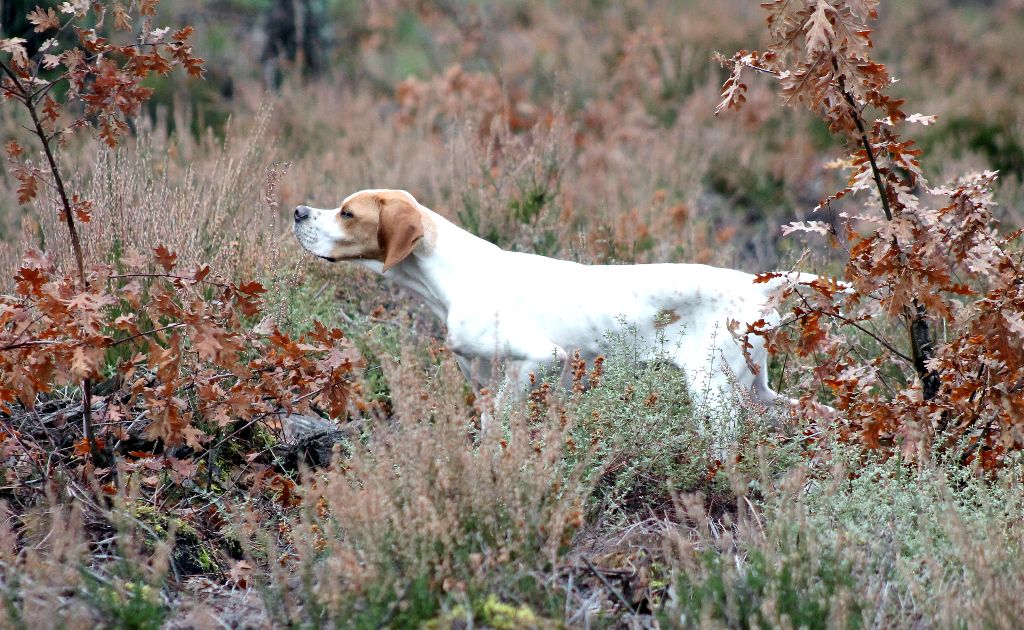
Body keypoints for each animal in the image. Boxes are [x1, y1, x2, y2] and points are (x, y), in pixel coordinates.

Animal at [290, 187, 806, 413]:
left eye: (347, 213)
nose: (297, 211)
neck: (452, 277)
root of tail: (756, 286)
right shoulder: (480, 375)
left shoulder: (538, 359)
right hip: (758, 389)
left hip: (711, 393)